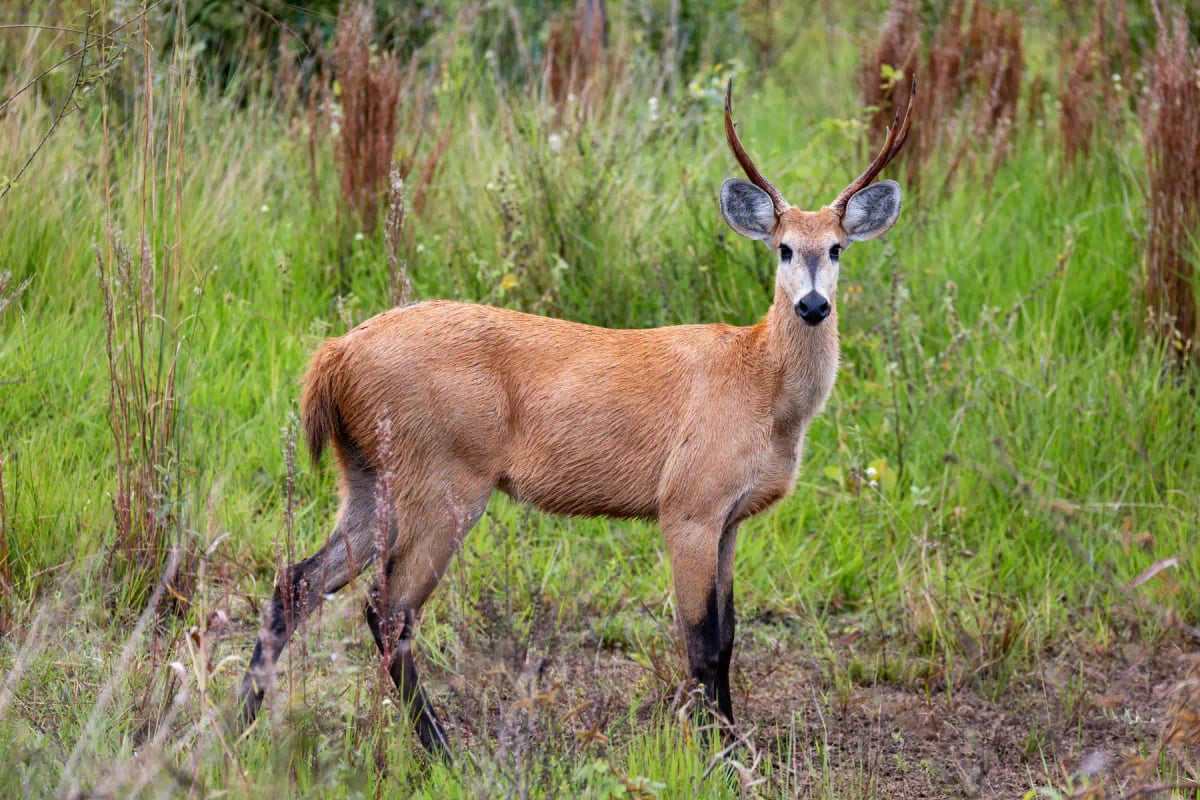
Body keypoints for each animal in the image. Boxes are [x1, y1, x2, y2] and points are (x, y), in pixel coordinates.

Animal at [238, 78, 916, 758]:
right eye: (783, 248)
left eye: (836, 248)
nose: (812, 305)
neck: (761, 384)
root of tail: (333, 357)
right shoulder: (687, 504)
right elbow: (699, 643)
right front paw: (716, 758)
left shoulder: (729, 519)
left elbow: (727, 640)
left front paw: (730, 744)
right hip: (442, 480)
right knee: (389, 608)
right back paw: (441, 750)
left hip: (366, 479)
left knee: (295, 583)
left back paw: (234, 726)